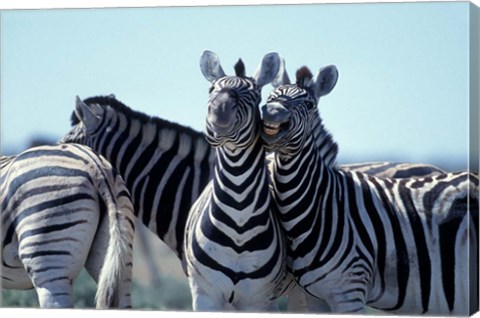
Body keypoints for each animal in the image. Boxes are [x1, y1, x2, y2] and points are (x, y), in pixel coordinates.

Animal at [260, 63, 478, 314]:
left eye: (309, 105)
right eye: (270, 97)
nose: (272, 112)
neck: (321, 203)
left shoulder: (349, 290)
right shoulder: (312, 296)